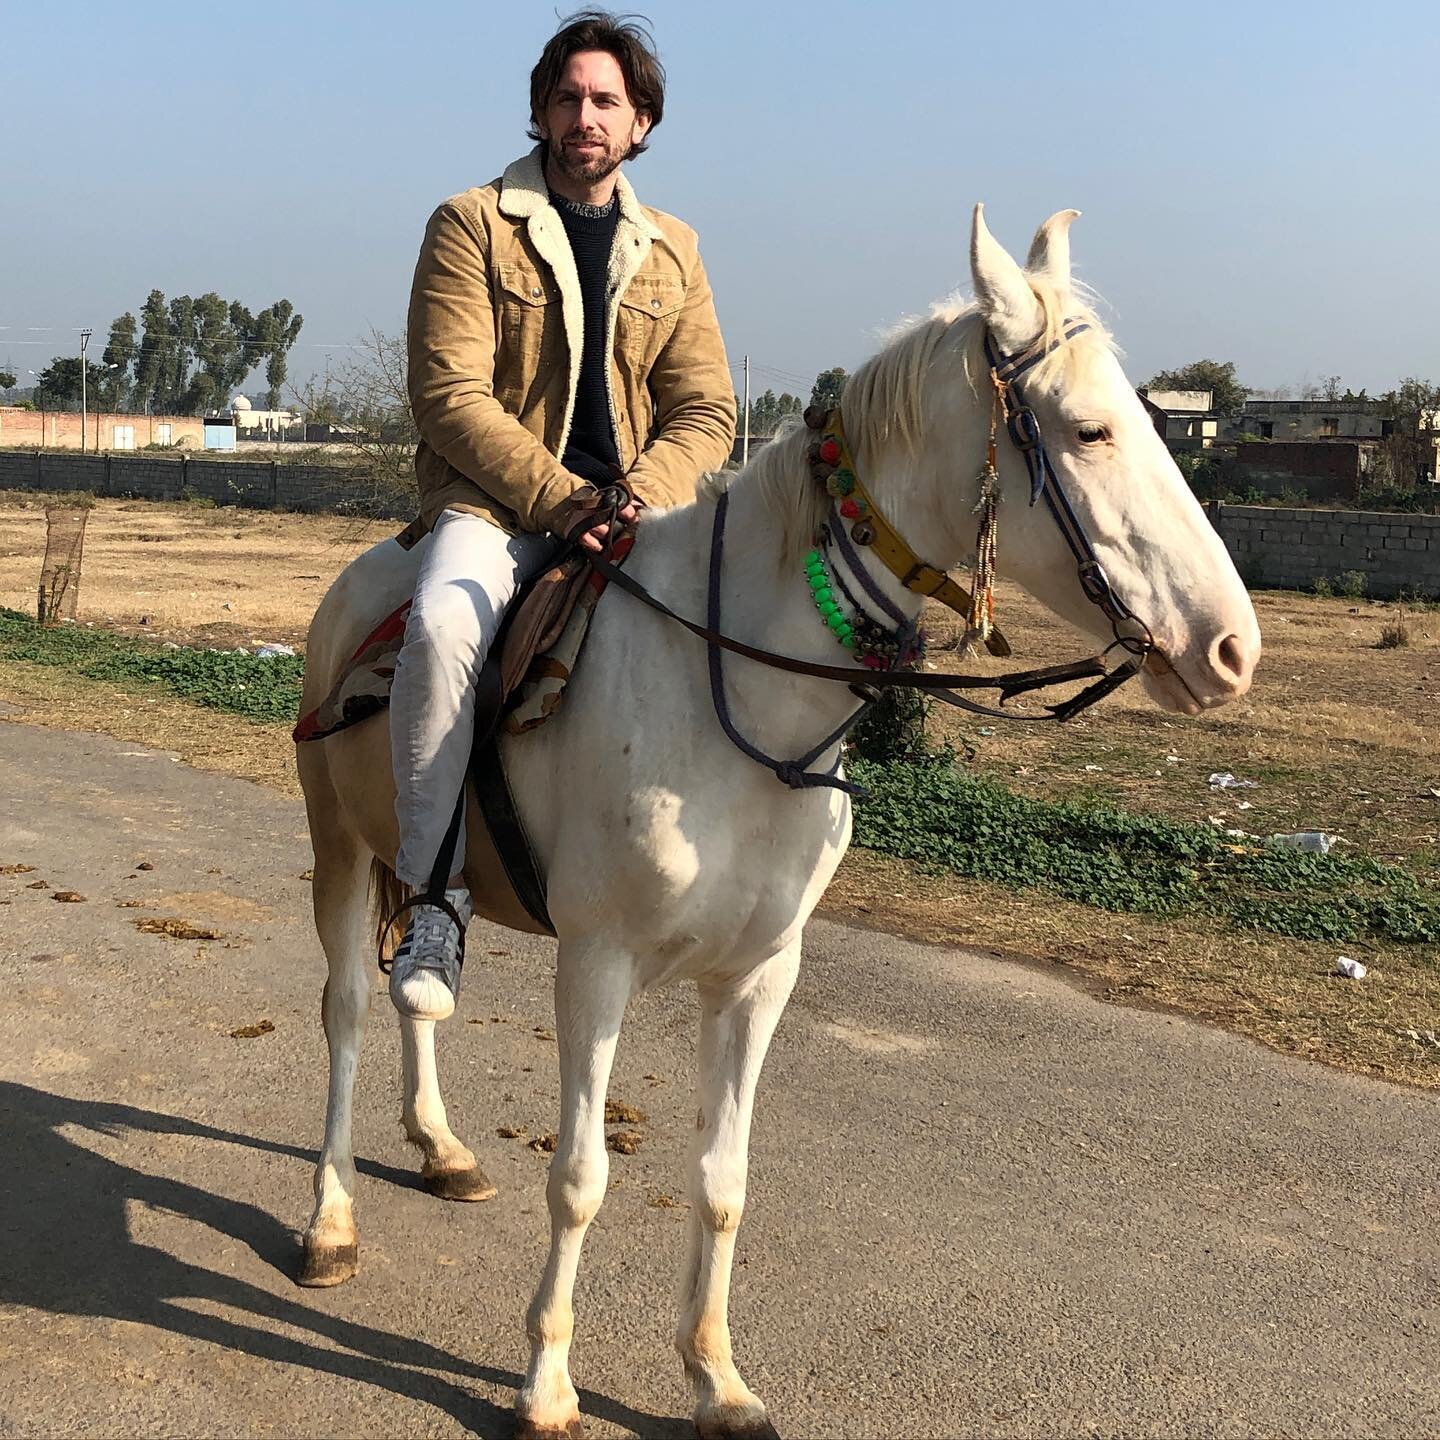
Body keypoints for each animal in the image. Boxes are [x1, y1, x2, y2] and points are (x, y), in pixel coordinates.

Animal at [295, 210, 1261, 1440]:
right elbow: (580, 1179)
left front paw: (715, 1378)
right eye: (1089, 430)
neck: (731, 691)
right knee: (348, 1012)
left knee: (417, 987)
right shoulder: (597, 964)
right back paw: (329, 1222)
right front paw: (547, 1383)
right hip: (338, 847)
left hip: (426, 873)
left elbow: (723, 1180)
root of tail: (362, 587)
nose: (1232, 648)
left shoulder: (760, 975)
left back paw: (442, 1147)